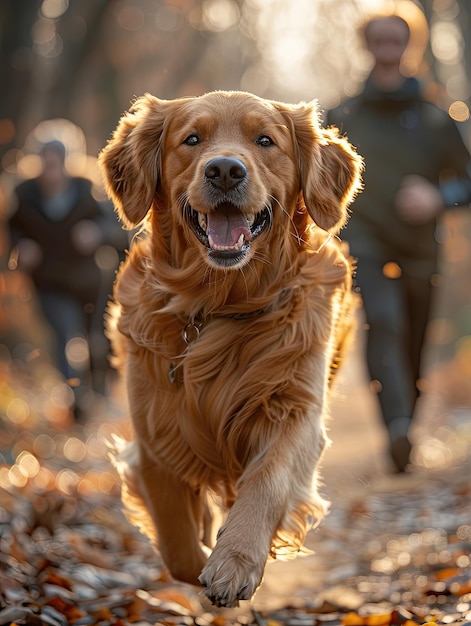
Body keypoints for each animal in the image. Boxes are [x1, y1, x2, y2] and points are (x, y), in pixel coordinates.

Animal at [99, 90, 364, 608]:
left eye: (265, 141)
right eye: (191, 139)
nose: (224, 170)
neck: (220, 307)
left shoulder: (295, 409)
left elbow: (267, 480)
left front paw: (235, 561)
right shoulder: (155, 437)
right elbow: (178, 543)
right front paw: (204, 557)